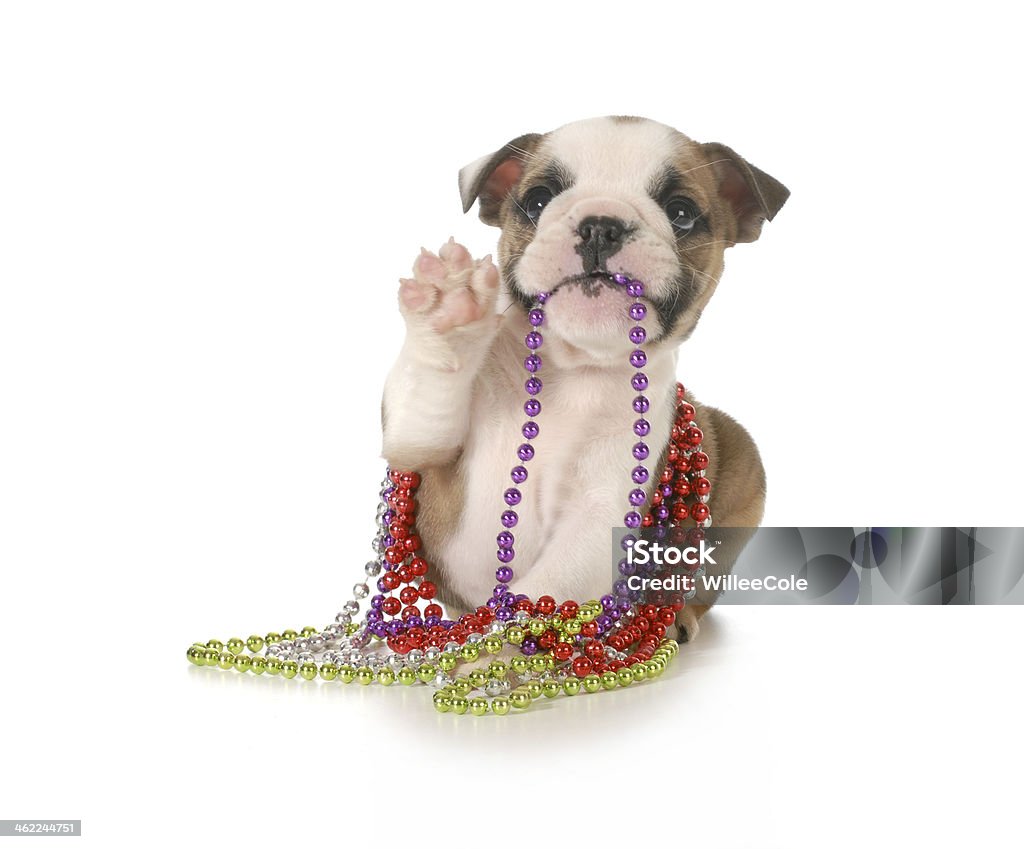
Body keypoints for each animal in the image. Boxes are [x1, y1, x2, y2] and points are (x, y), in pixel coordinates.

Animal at [380, 115, 786, 639]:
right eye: (537, 199)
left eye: (681, 212)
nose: (601, 225)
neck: (572, 366)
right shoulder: (422, 449)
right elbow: (422, 412)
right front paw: (447, 306)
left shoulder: (600, 515)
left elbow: (543, 591)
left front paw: (494, 649)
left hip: (739, 462)